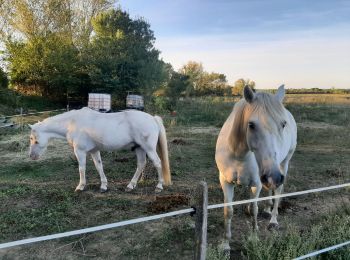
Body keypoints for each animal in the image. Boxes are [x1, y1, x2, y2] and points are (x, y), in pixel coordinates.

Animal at [29, 106, 172, 192]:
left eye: (34, 139)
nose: (31, 156)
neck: (72, 123)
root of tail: (153, 118)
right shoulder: (94, 150)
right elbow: (99, 167)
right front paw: (103, 186)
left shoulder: (80, 152)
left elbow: (81, 168)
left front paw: (80, 186)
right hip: (139, 148)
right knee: (141, 164)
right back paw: (130, 185)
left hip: (148, 149)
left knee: (158, 163)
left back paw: (159, 186)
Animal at [215, 85, 296, 250]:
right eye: (251, 125)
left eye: (283, 124)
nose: (273, 176)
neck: (238, 154)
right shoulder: (225, 182)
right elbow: (228, 211)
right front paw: (225, 244)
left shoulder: (257, 183)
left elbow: (254, 210)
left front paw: (253, 238)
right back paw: (267, 208)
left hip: (282, 165)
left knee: (277, 191)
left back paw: (273, 220)